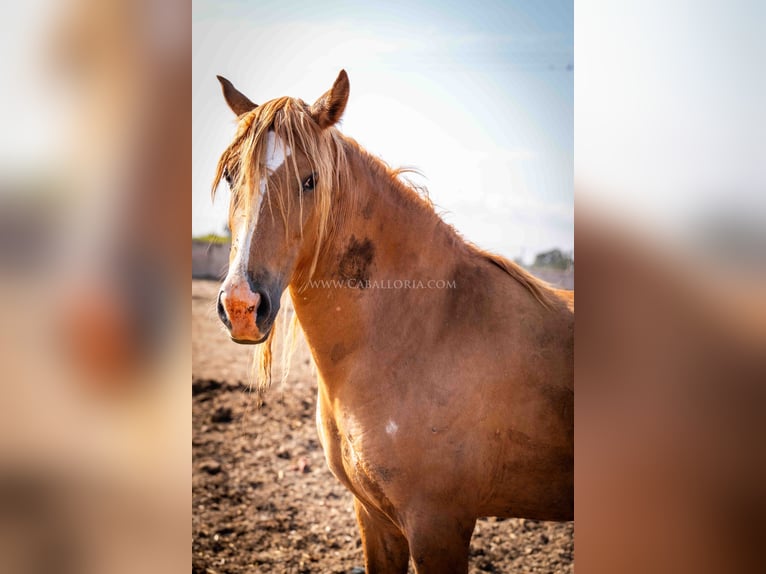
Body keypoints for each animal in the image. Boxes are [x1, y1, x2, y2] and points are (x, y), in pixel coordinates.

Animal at [213, 71, 572, 574]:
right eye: (231, 177)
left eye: (310, 180)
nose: (242, 306)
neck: (424, 332)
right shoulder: (375, 518)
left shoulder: (437, 526)